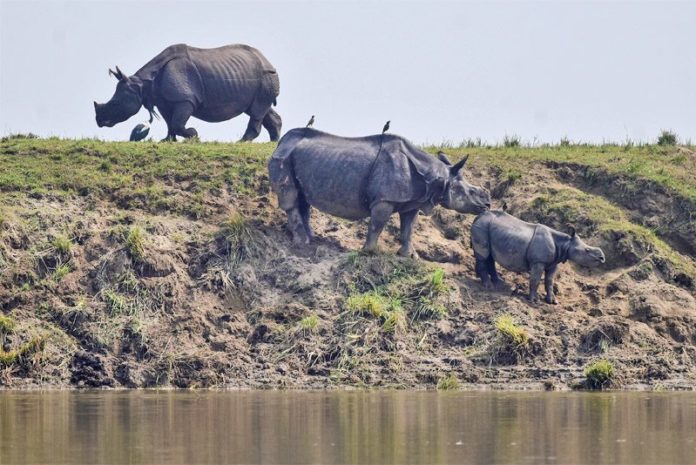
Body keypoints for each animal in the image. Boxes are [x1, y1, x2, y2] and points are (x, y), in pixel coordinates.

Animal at [474, 210, 604, 304]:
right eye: (587, 250)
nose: (602, 258)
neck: (565, 244)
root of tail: (478, 217)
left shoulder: (553, 263)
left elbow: (549, 281)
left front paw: (552, 301)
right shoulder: (538, 261)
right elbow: (535, 279)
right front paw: (534, 301)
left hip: (486, 226)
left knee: (489, 257)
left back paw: (499, 283)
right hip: (483, 226)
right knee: (484, 256)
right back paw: (489, 287)